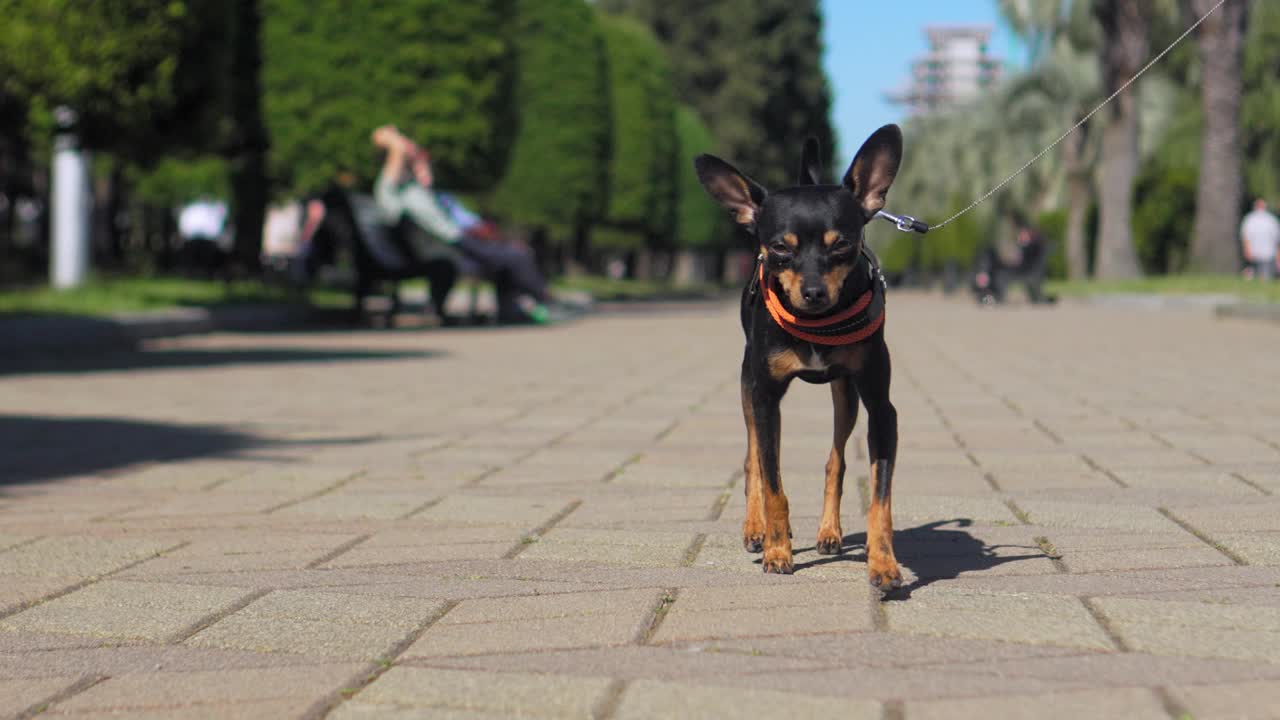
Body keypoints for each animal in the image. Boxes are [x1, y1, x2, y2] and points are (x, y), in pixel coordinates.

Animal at [696, 126, 906, 591]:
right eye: (779, 248)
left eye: (842, 244)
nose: (813, 292)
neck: (817, 323)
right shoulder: (765, 398)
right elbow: (773, 483)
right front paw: (778, 550)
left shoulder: (882, 408)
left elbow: (880, 501)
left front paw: (883, 563)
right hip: (748, 389)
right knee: (754, 460)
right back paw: (756, 529)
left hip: (846, 395)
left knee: (835, 460)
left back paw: (829, 532)